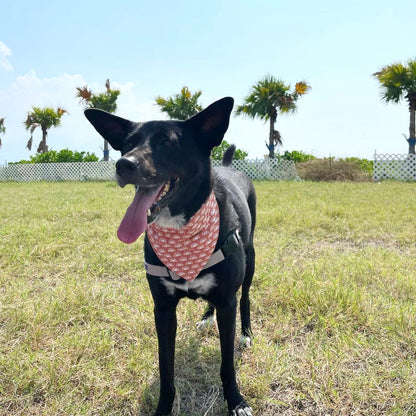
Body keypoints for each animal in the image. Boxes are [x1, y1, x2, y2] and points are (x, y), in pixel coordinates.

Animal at [85, 98, 255, 416]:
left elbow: (227, 365)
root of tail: (229, 167)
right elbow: (166, 369)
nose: (124, 164)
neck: (181, 229)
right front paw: (163, 408)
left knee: (247, 296)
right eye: (128, 144)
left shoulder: (228, 302)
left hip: (250, 260)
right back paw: (206, 318)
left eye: (168, 142)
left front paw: (236, 402)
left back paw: (247, 333)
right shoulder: (163, 309)